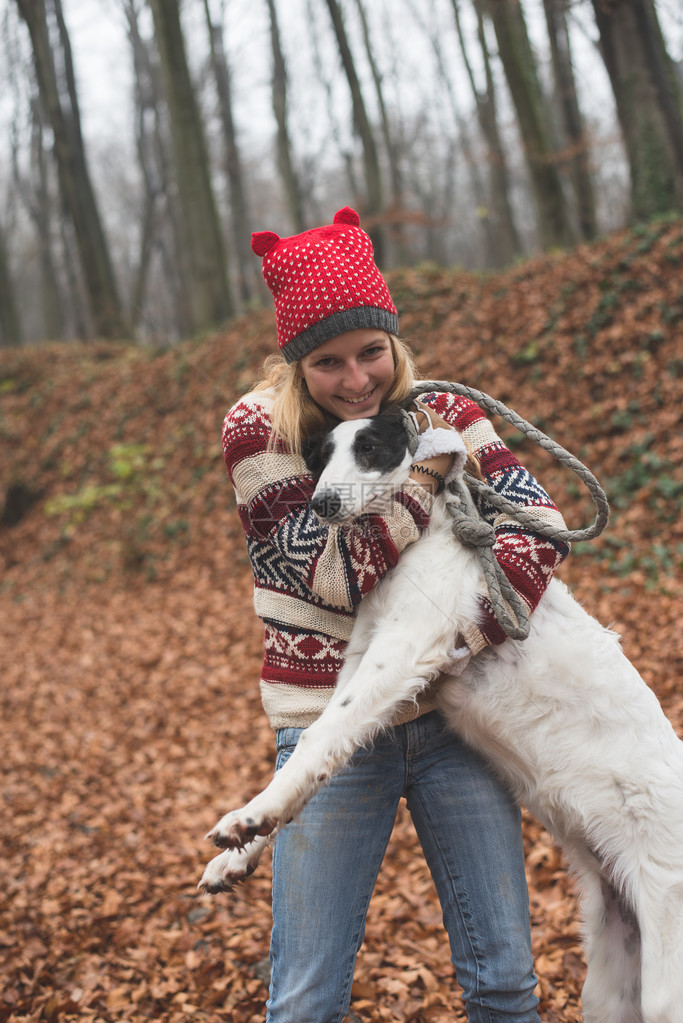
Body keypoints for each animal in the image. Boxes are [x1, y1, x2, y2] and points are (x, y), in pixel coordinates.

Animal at [200, 407, 683, 1023]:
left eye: (370, 448)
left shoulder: (405, 648)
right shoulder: (362, 659)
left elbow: (318, 740)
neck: (426, 529)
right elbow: (317, 745)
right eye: (319, 457)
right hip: (609, 984)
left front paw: (249, 817)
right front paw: (239, 851)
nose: (322, 504)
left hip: (667, 980)